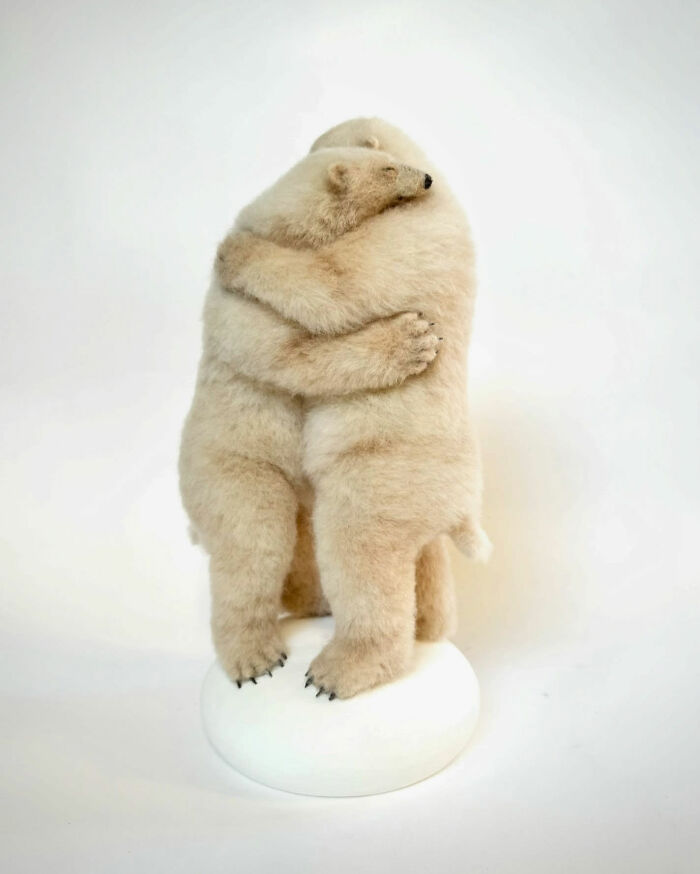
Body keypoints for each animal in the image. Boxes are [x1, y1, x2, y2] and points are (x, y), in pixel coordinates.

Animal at [179, 144, 442, 687]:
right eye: (387, 168)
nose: (427, 178)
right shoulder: (240, 314)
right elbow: (301, 349)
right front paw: (413, 339)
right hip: (231, 466)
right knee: (254, 542)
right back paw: (254, 656)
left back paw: (315, 601)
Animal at [216, 117, 491, 698]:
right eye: (388, 169)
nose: (426, 180)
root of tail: (462, 505)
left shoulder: (410, 236)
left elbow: (333, 283)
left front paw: (235, 252)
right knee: (267, 537)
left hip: (385, 470)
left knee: (352, 546)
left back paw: (335, 669)